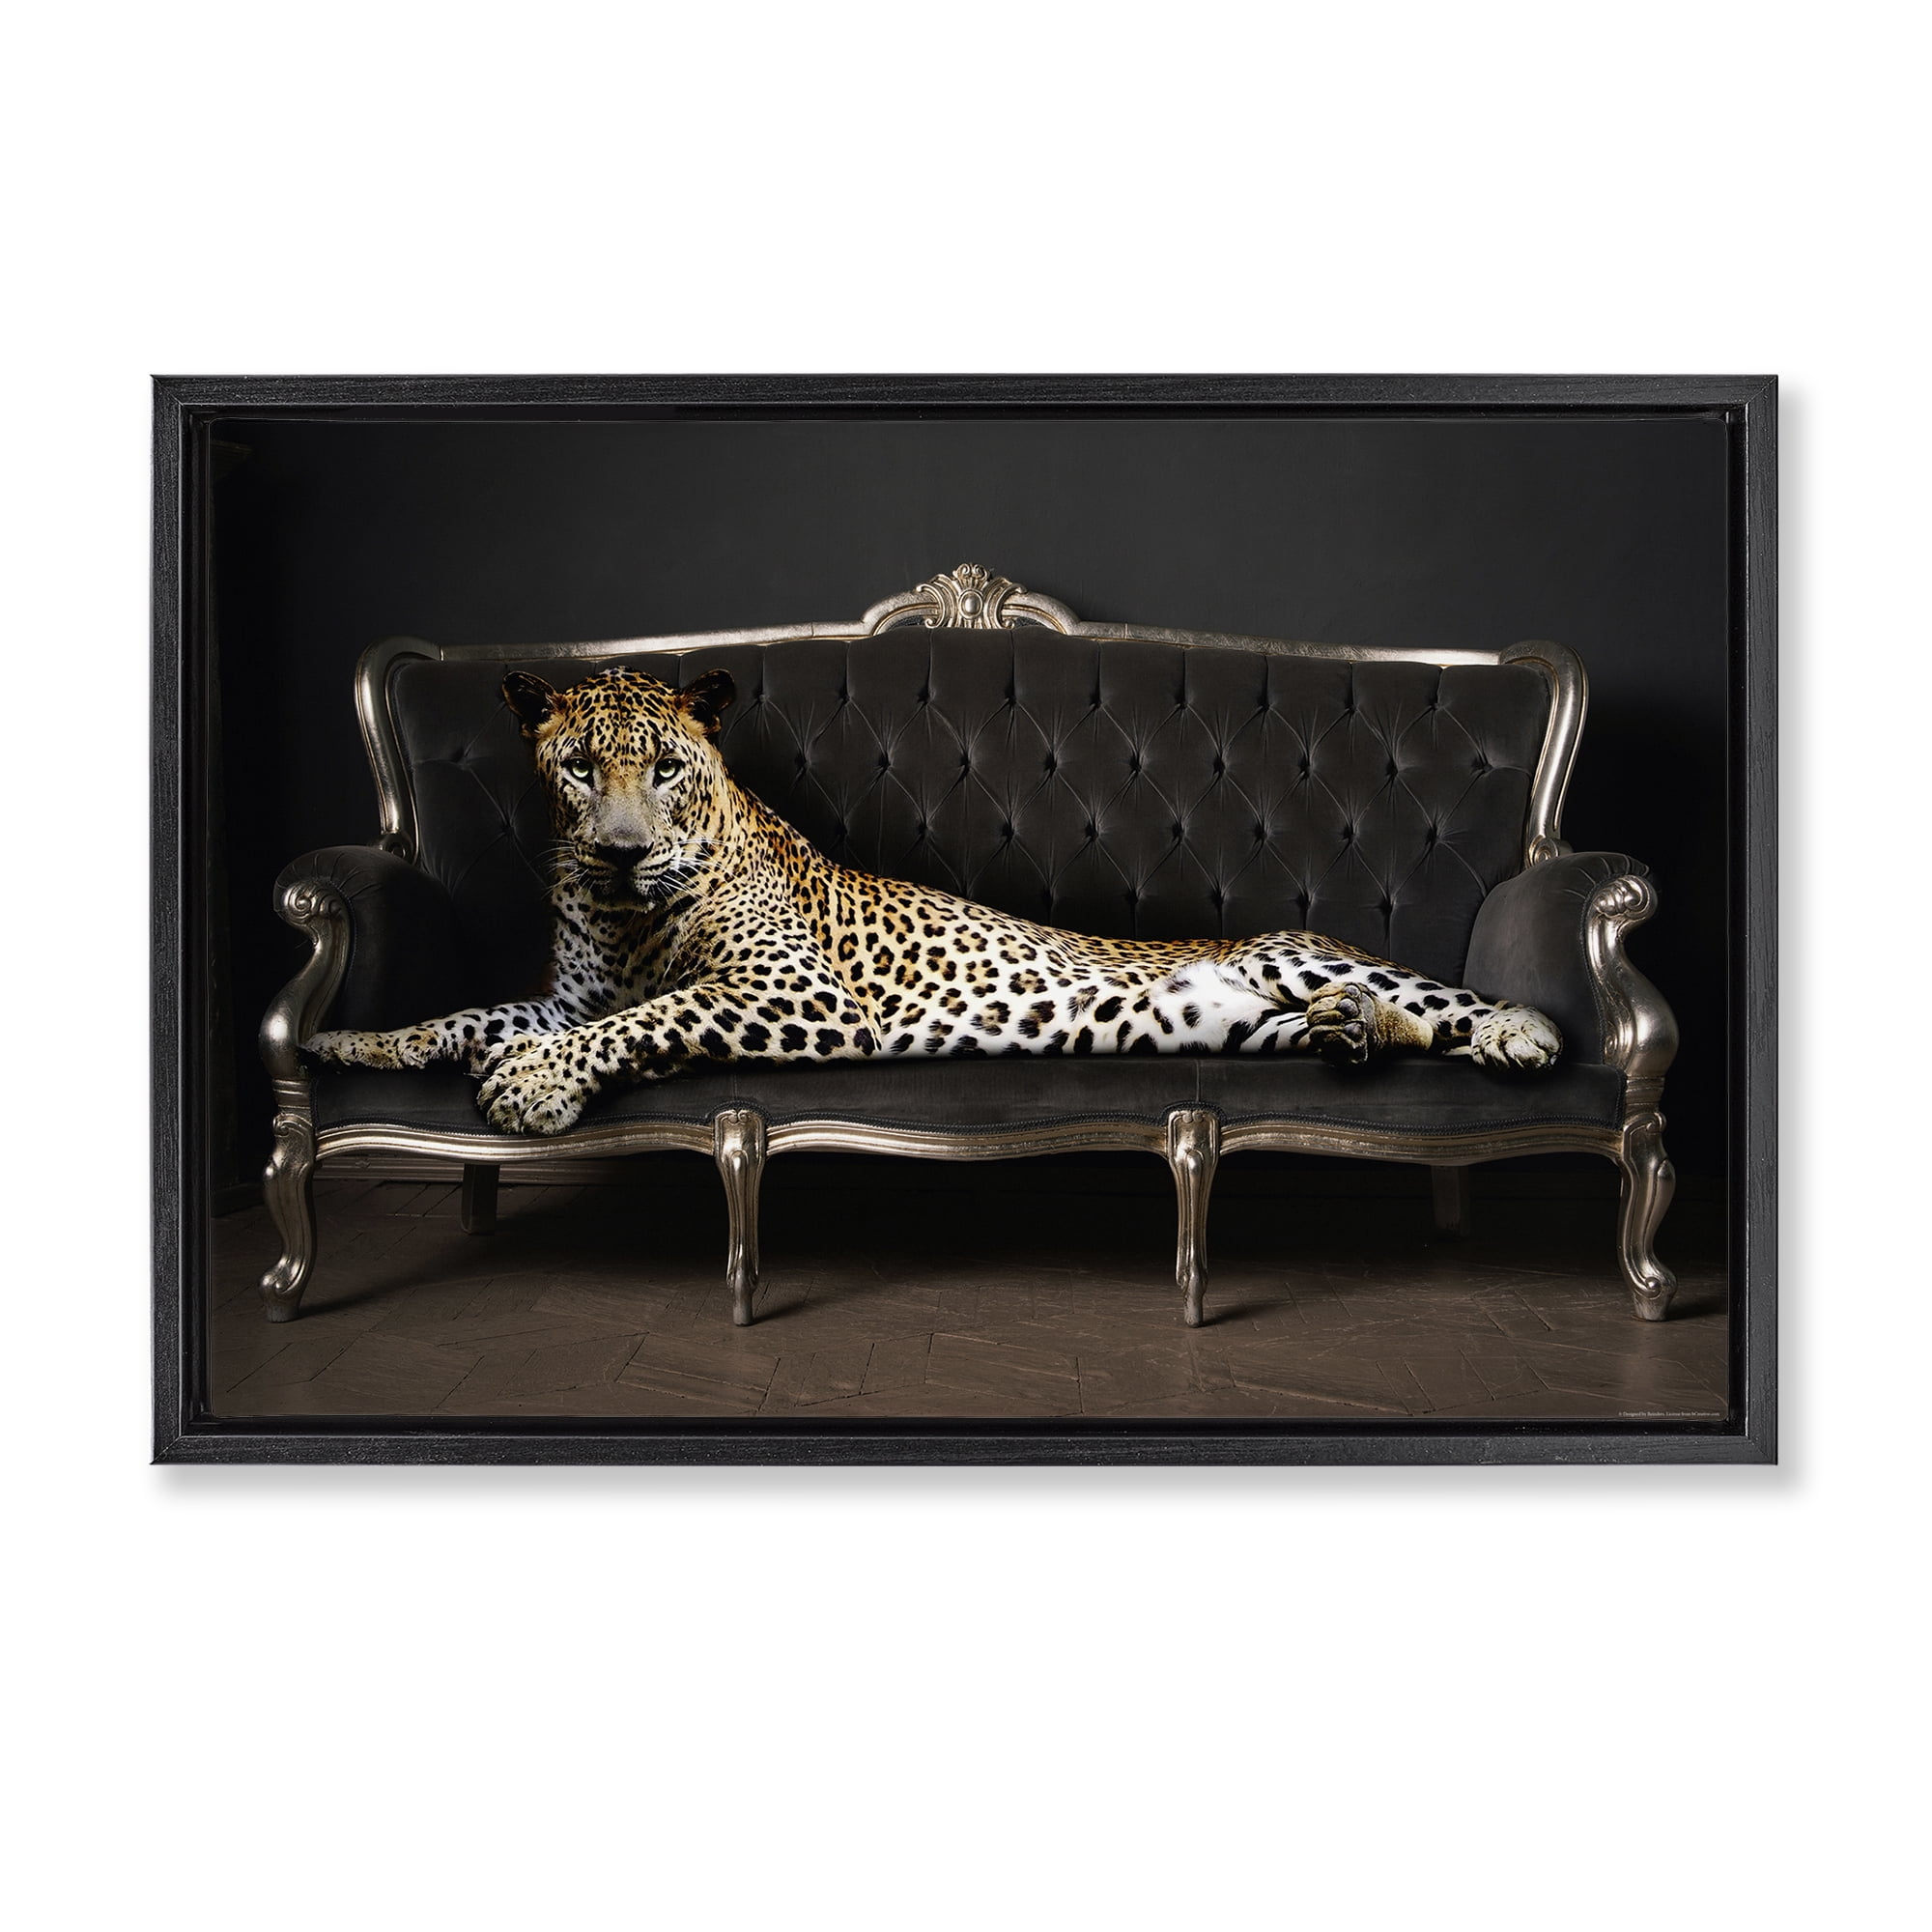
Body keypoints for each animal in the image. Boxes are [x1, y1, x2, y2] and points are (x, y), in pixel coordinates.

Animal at [305, 664, 1564, 1135]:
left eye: (664, 767)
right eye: (577, 769)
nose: (618, 852)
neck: (627, 914)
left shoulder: (795, 993)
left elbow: (652, 1017)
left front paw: (530, 1085)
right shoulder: (567, 995)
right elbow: (468, 1014)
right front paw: (355, 1043)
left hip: (1296, 954)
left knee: (1440, 1002)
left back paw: (1511, 1032)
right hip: (1240, 1020)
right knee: (1370, 1026)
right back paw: (1351, 1034)